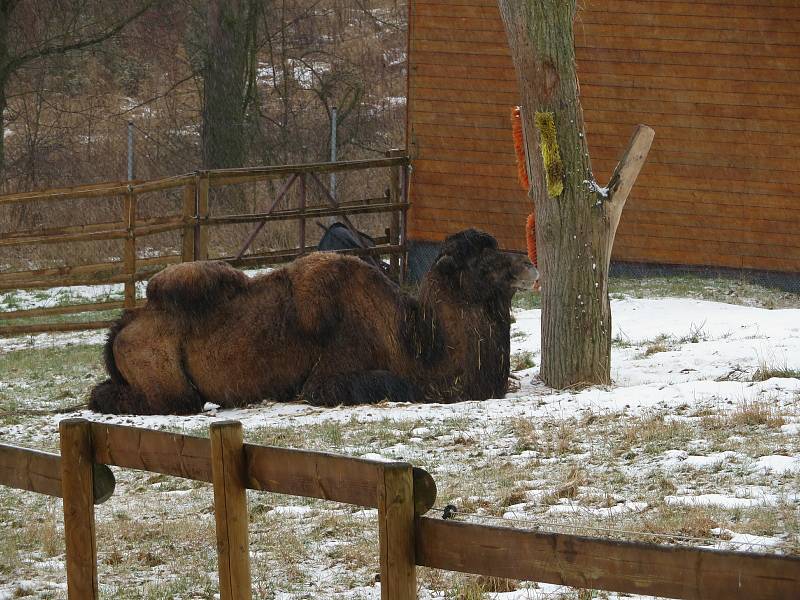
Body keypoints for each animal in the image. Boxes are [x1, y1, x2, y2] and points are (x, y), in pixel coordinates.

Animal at [89, 227, 536, 414]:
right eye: (480, 262)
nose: (529, 265)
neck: (418, 342)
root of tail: (122, 327)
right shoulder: (326, 382)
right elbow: (394, 384)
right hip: (170, 386)